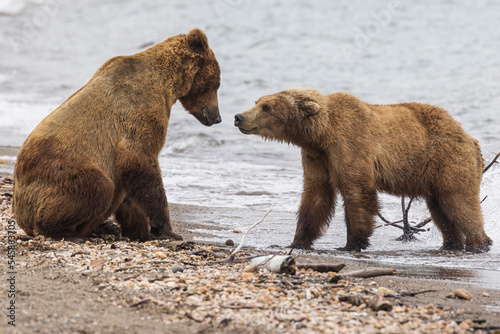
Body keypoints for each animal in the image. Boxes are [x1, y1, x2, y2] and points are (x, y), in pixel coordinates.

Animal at [14, 28, 221, 240]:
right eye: (217, 84)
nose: (217, 117)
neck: (167, 83)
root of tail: (20, 213)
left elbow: (130, 187)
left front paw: (142, 229)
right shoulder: (140, 110)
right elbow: (139, 160)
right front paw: (166, 229)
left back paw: (103, 227)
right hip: (60, 171)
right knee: (99, 187)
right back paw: (64, 230)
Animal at [234, 88, 492, 253]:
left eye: (266, 107)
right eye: (257, 101)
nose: (238, 116)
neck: (320, 133)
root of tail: (471, 138)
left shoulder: (350, 143)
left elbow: (356, 190)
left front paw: (352, 243)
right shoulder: (317, 157)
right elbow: (316, 195)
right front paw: (296, 241)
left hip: (449, 162)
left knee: (459, 203)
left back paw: (479, 244)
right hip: (435, 177)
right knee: (442, 210)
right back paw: (451, 243)